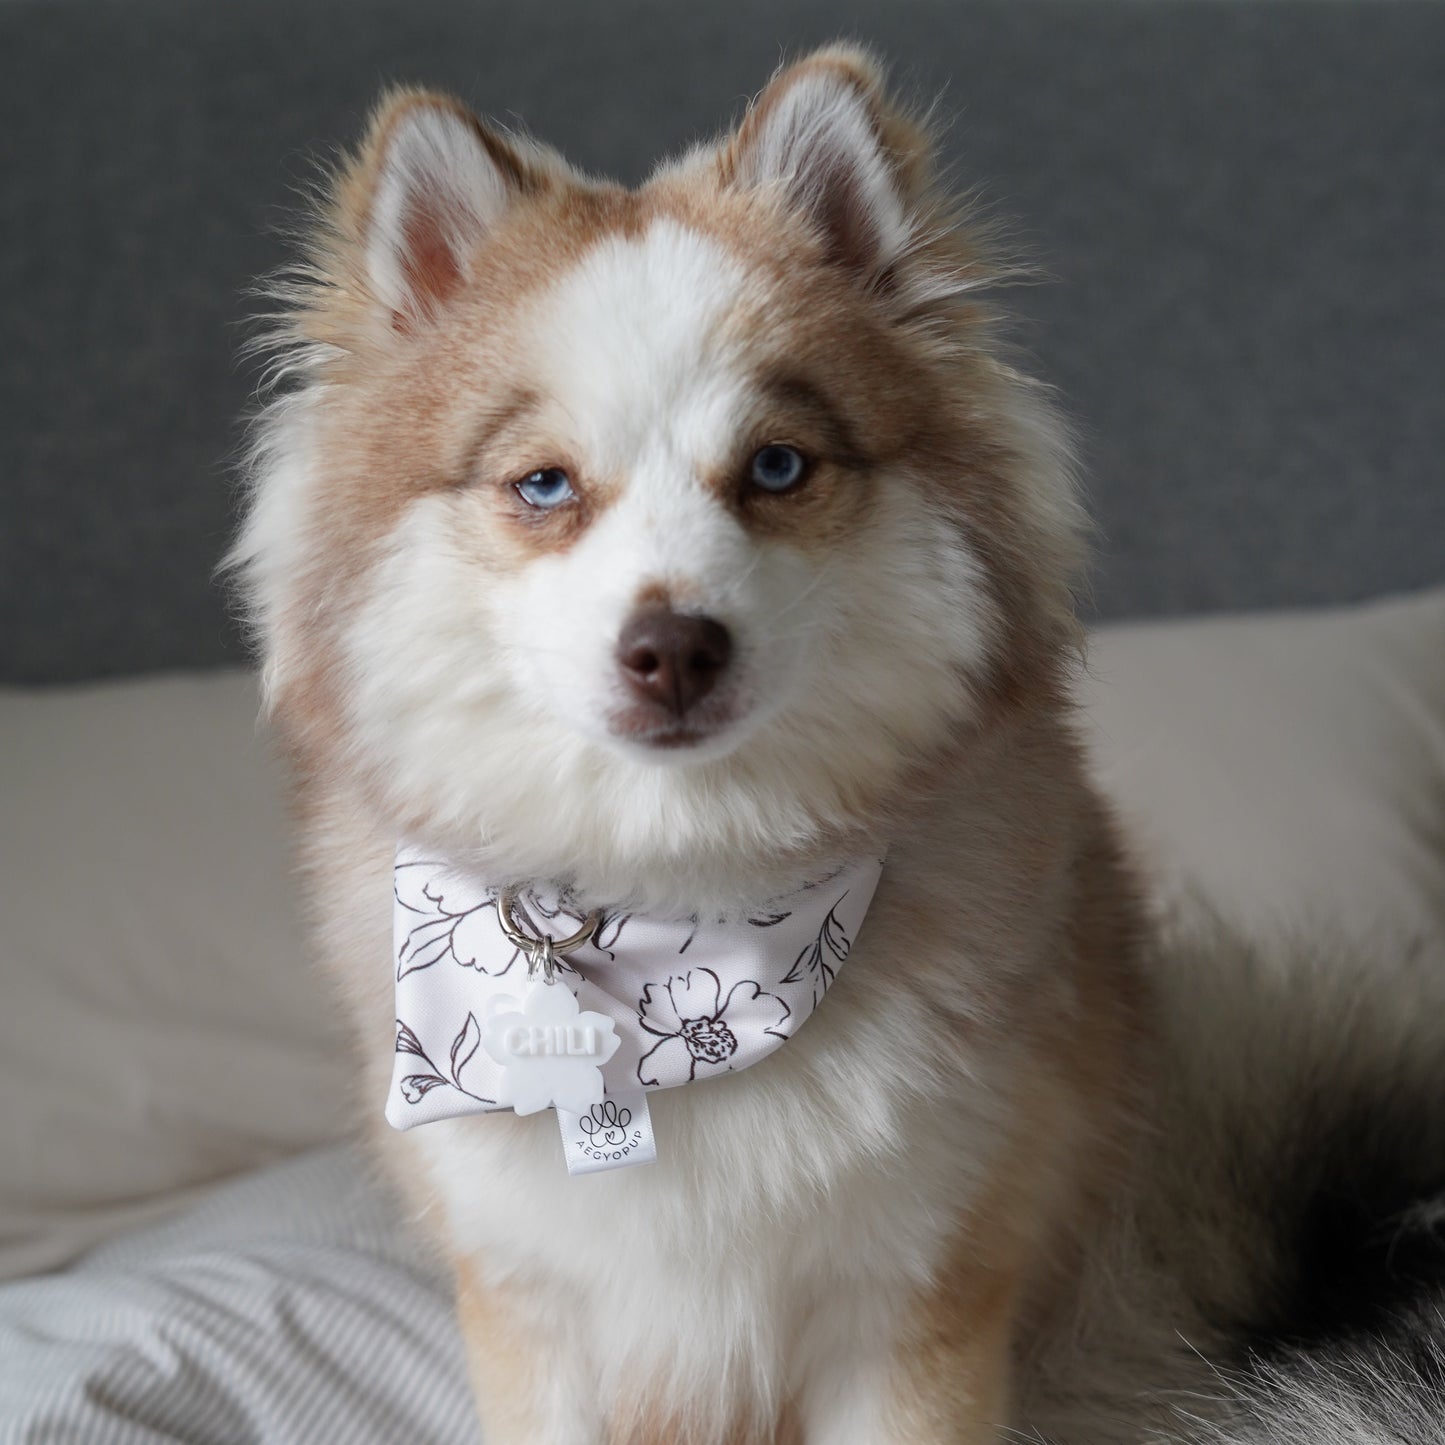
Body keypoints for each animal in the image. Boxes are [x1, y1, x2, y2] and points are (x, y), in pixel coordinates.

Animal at [231, 45, 1445, 1445]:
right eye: (542, 485)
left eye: (774, 466)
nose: (673, 647)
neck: (671, 920)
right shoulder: (531, 1308)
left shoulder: (918, 1306)